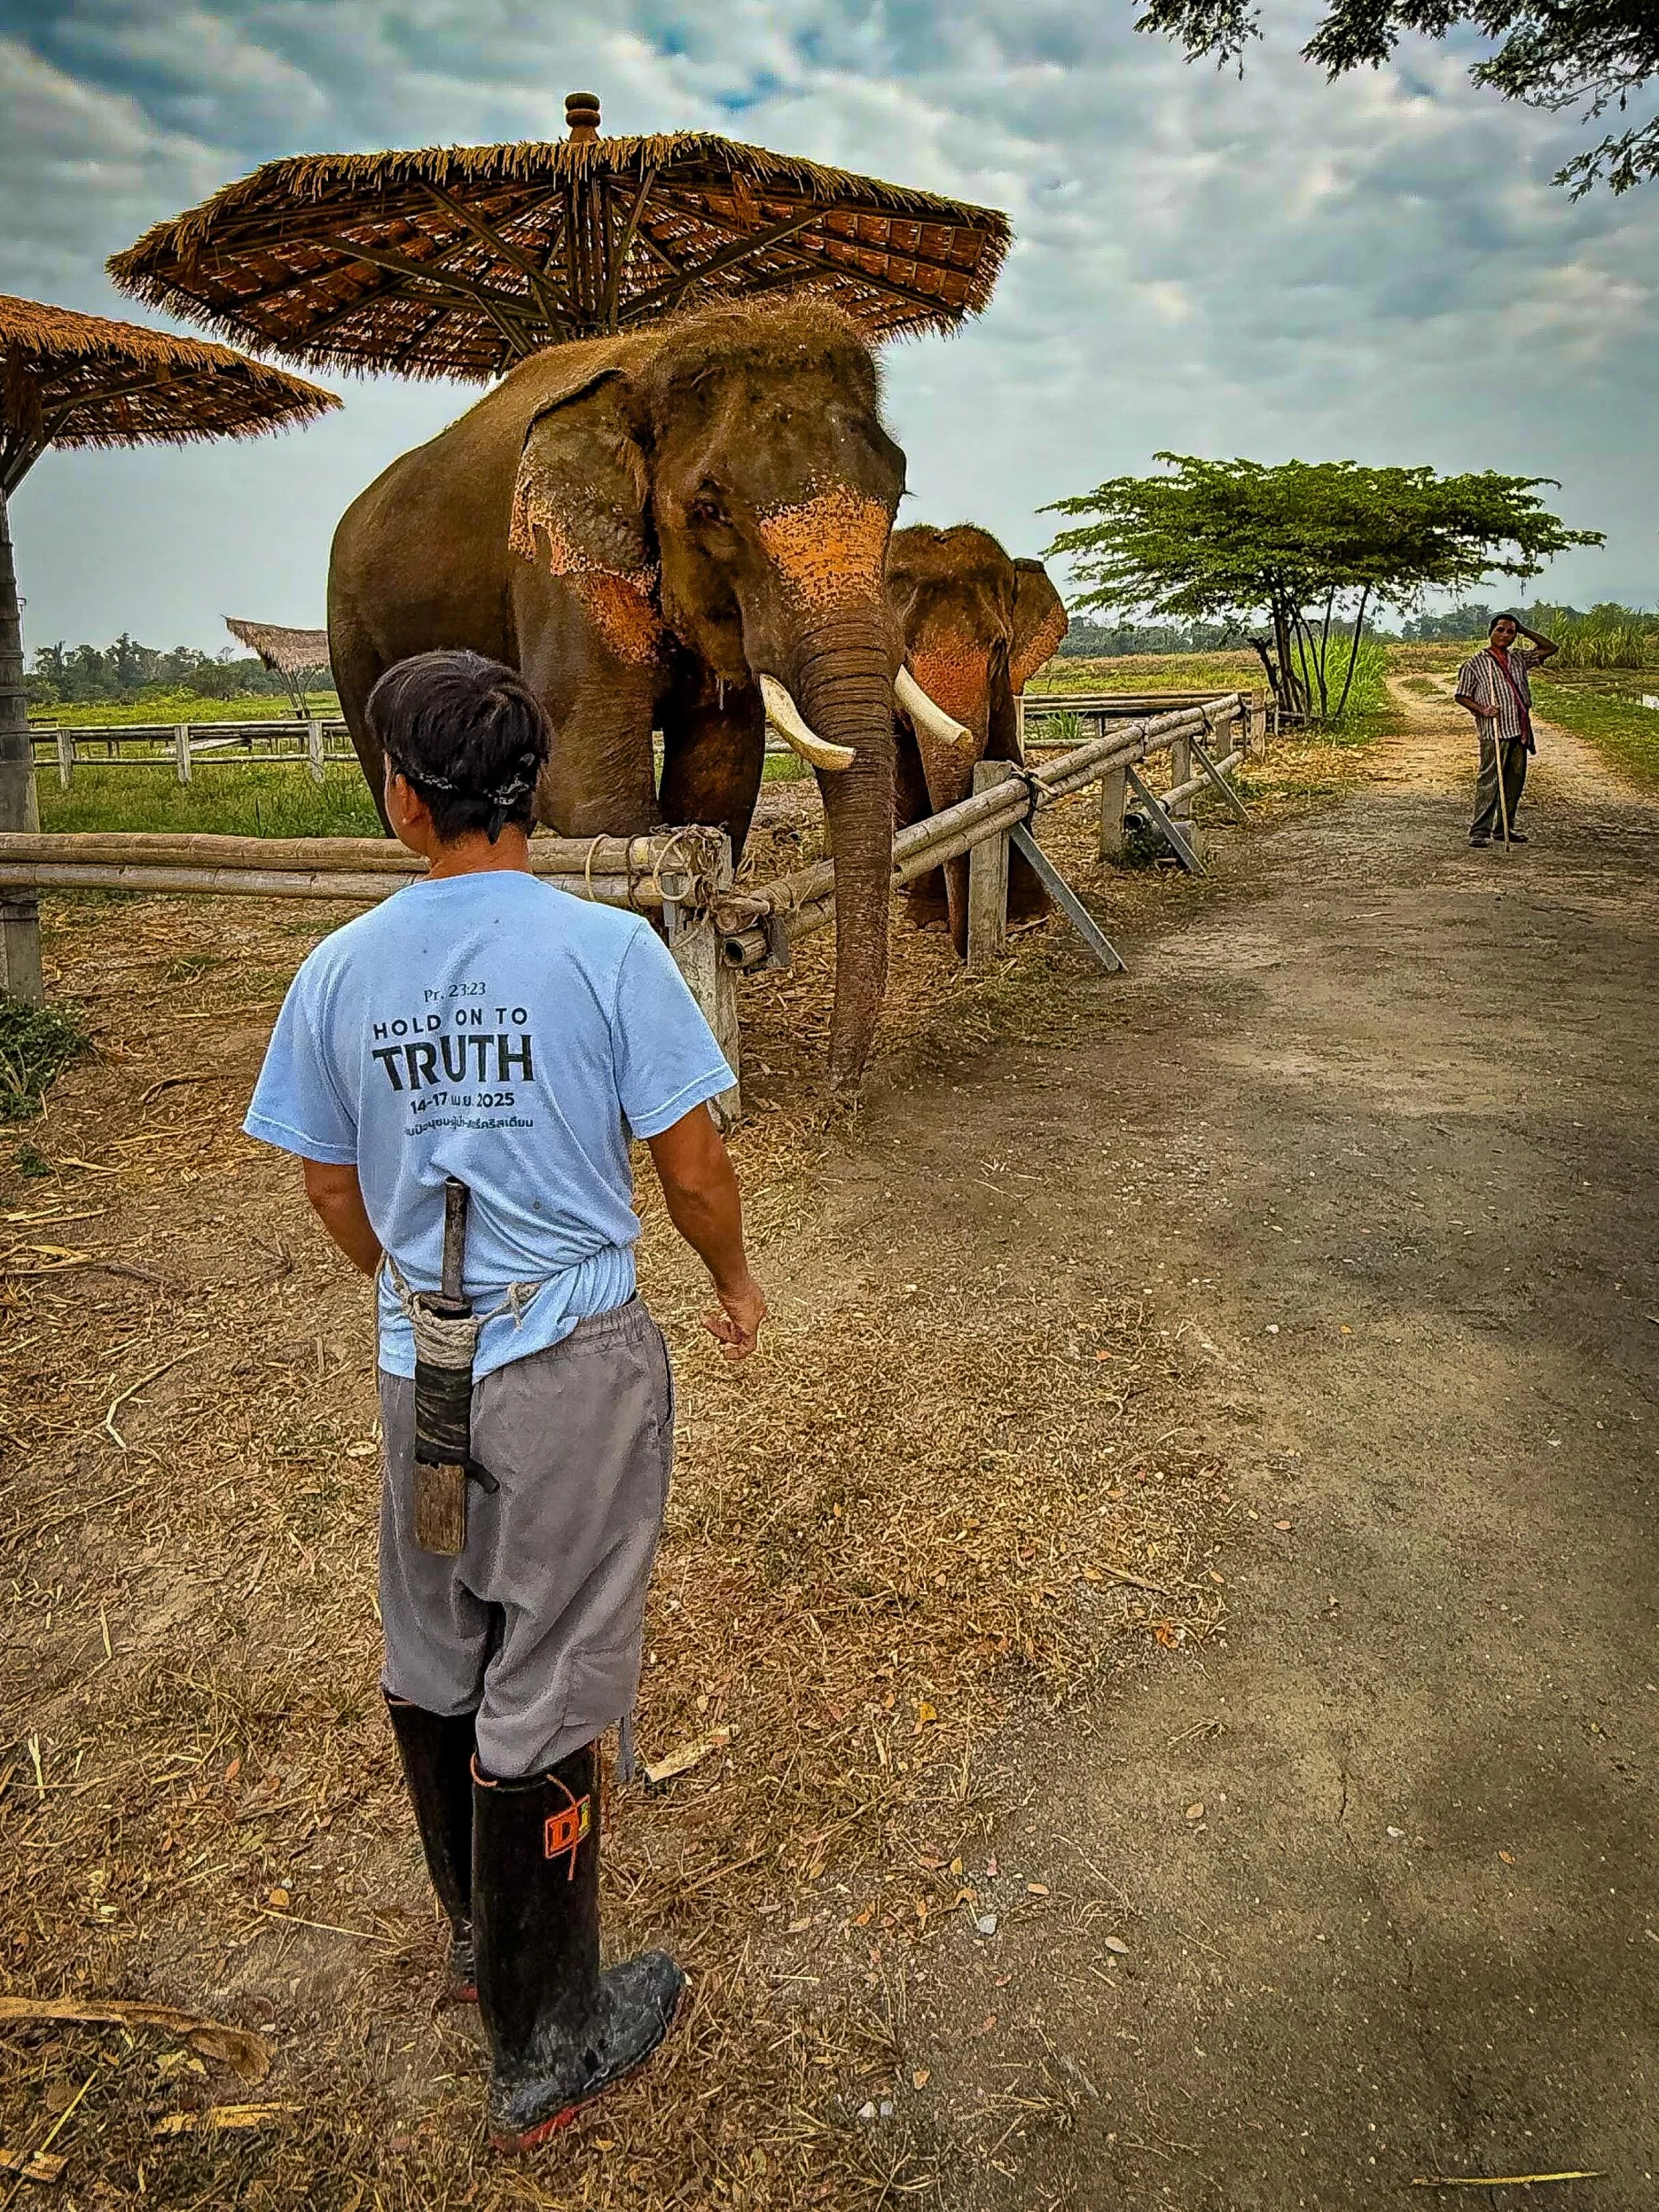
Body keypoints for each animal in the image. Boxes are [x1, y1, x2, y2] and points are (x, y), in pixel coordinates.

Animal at [329, 297, 933, 1085]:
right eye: (711, 511)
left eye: (896, 493)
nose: (840, 1088)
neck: (654, 357)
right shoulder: (555, 564)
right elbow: (591, 793)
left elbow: (716, 778)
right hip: (350, 632)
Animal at [884, 524, 1069, 956]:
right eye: (901, 651)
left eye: (999, 646)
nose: (964, 945)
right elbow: (911, 791)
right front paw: (928, 921)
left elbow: (1010, 766)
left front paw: (1028, 917)